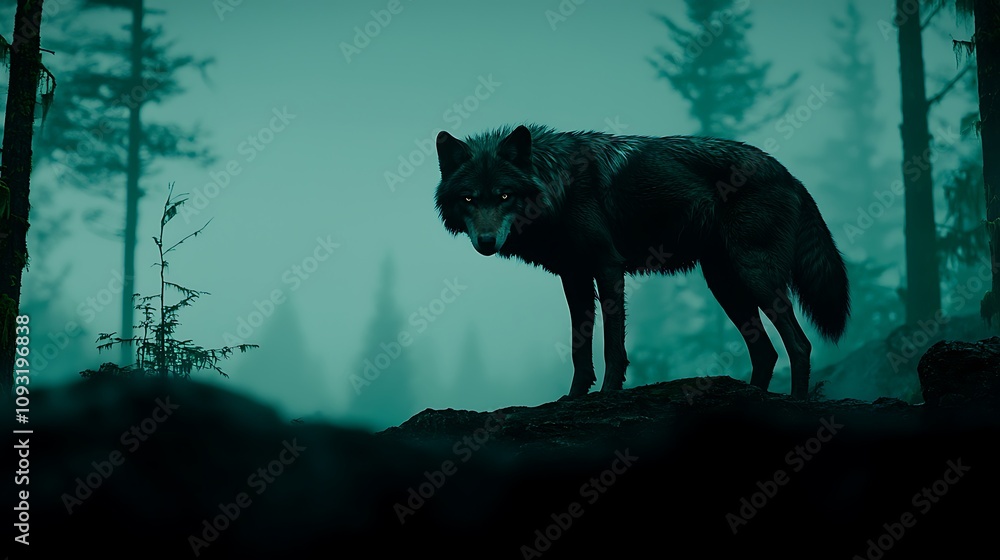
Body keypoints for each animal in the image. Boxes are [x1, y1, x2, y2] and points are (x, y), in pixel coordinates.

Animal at [434, 124, 849, 400]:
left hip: (754, 276)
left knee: (799, 345)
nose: (486, 242)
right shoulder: (574, 277)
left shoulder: (608, 267)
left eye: (504, 195)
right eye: (470, 199)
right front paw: (574, 399)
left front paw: (607, 395)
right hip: (725, 285)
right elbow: (579, 348)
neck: (557, 185)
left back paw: (796, 404)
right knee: (766, 351)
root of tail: (789, 174)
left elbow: (612, 346)